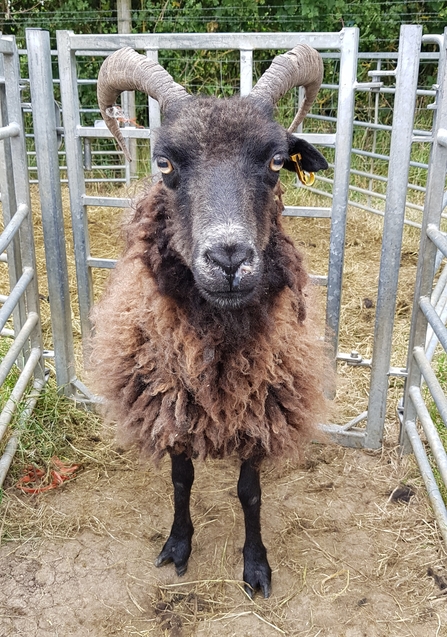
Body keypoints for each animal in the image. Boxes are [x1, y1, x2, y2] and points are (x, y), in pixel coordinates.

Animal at [88, 44, 332, 596]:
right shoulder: (169, 402)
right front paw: (178, 545)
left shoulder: (262, 404)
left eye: (276, 161)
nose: (229, 258)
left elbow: (249, 492)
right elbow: (181, 480)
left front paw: (256, 564)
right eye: (164, 163)